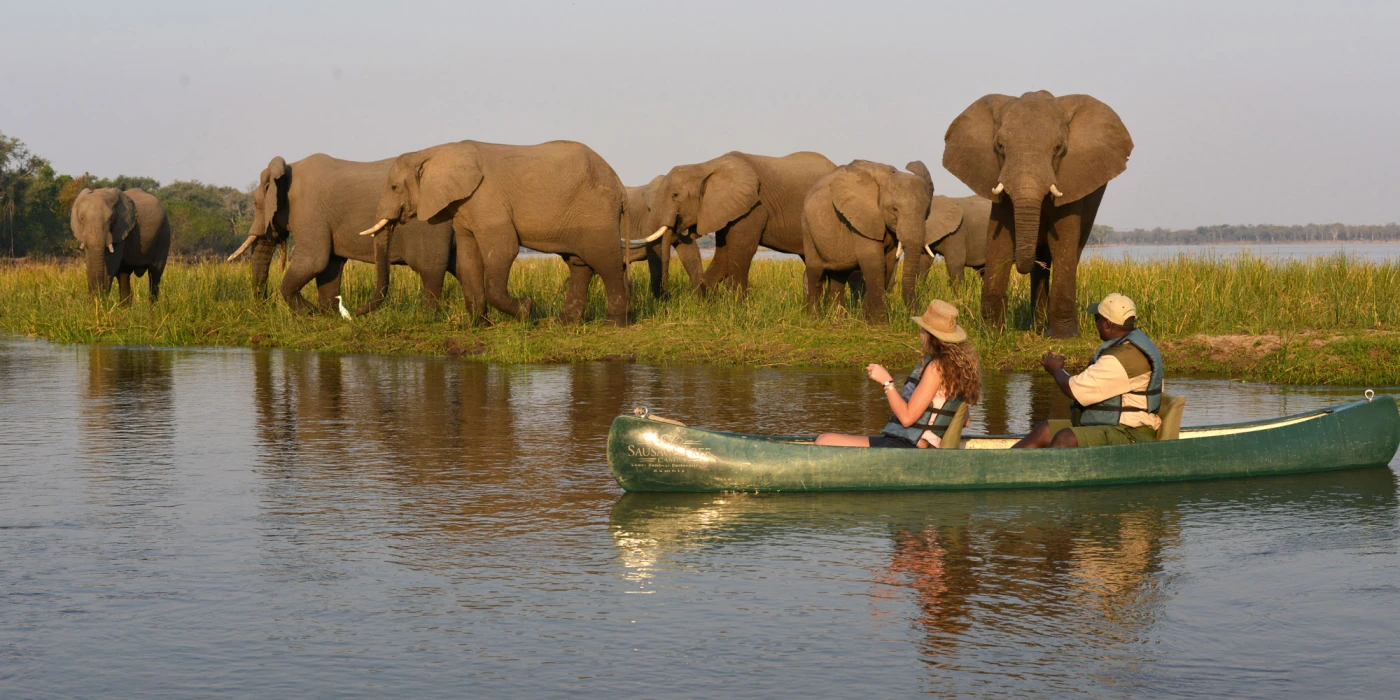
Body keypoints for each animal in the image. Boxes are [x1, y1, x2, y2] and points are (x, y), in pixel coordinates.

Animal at [224, 156, 453, 317]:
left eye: (255, 204)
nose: (262, 308)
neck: (288, 168)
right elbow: (329, 267)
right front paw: (329, 315)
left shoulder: (309, 211)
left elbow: (314, 261)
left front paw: (312, 313)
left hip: (430, 227)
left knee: (430, 269)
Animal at [361, 140, 630, 324]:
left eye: (394, 187)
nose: (356, 312)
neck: (434, 152)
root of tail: (619, 184)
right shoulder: (464, 208)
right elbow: (468, 258)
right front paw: (478, 325)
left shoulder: (486, 200)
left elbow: (503, 250)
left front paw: (526, 310)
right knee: (579, 264)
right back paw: (564, 323)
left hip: (597, 210)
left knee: (606, 262)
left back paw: (614, 324)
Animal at [641, 151, 828, 294]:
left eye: (675, 195)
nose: (667, 294)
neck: (706, 166)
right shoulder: (723, 210)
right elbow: (723, 254)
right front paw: (708, 307)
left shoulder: (753, 208)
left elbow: (742, 250)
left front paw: (737, 308)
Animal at [806, 160, 935, 322]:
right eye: (894, 209)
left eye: (926, 211)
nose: (918, 316)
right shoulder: (862, 219)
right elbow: (873, 260)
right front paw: (878, 323)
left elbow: (889, 263)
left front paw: (865, 320)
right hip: (807, 226)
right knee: (815, 272)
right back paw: (814, 319)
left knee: (839, 275)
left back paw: (838, 319)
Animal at [940, 89, 1125, 336]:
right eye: (1000, 146)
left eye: (1058, 148)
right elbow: (1000, 241)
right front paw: (991, 333)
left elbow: (1063, 243)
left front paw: (1063, 337)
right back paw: (1037, 328)